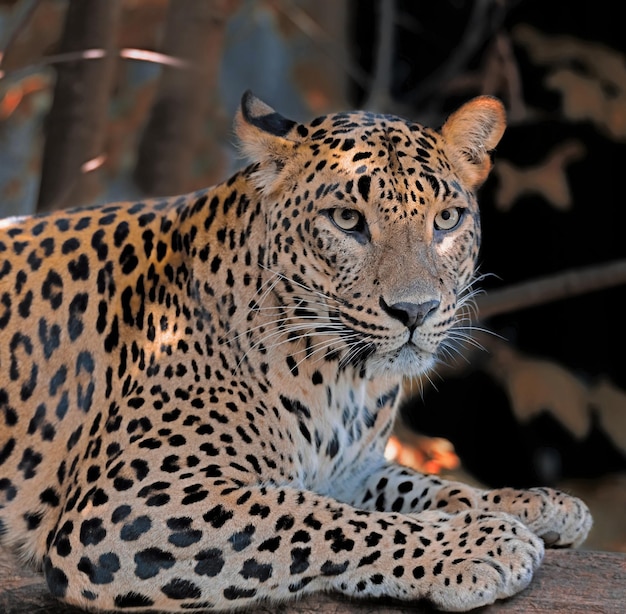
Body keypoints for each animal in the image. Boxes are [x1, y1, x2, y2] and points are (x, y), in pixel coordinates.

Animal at [0, 92, 588, 614]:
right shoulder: (130, 502)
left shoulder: (349, 468)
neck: (345, 381)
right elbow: (315, 517)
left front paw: (533, 503)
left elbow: (417, 485)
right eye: (347, 220)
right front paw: (480, 545)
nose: (415, 311)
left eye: (446, 220)